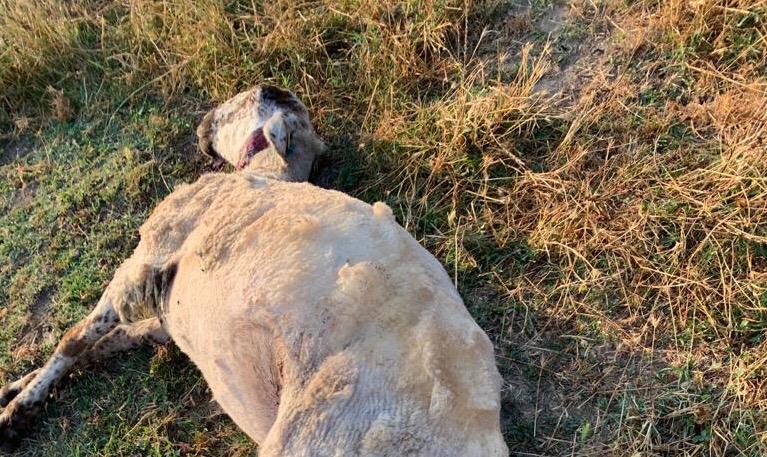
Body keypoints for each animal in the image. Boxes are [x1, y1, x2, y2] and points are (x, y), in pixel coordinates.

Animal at [0, 85, 509, 456]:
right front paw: (14, 387)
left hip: (313, 435)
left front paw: (18, 413)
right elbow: (109, 342)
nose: (203, 119)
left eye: (254, 94)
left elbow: (76, 338)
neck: (264, 174)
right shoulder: (166, 315)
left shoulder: (152, 252)